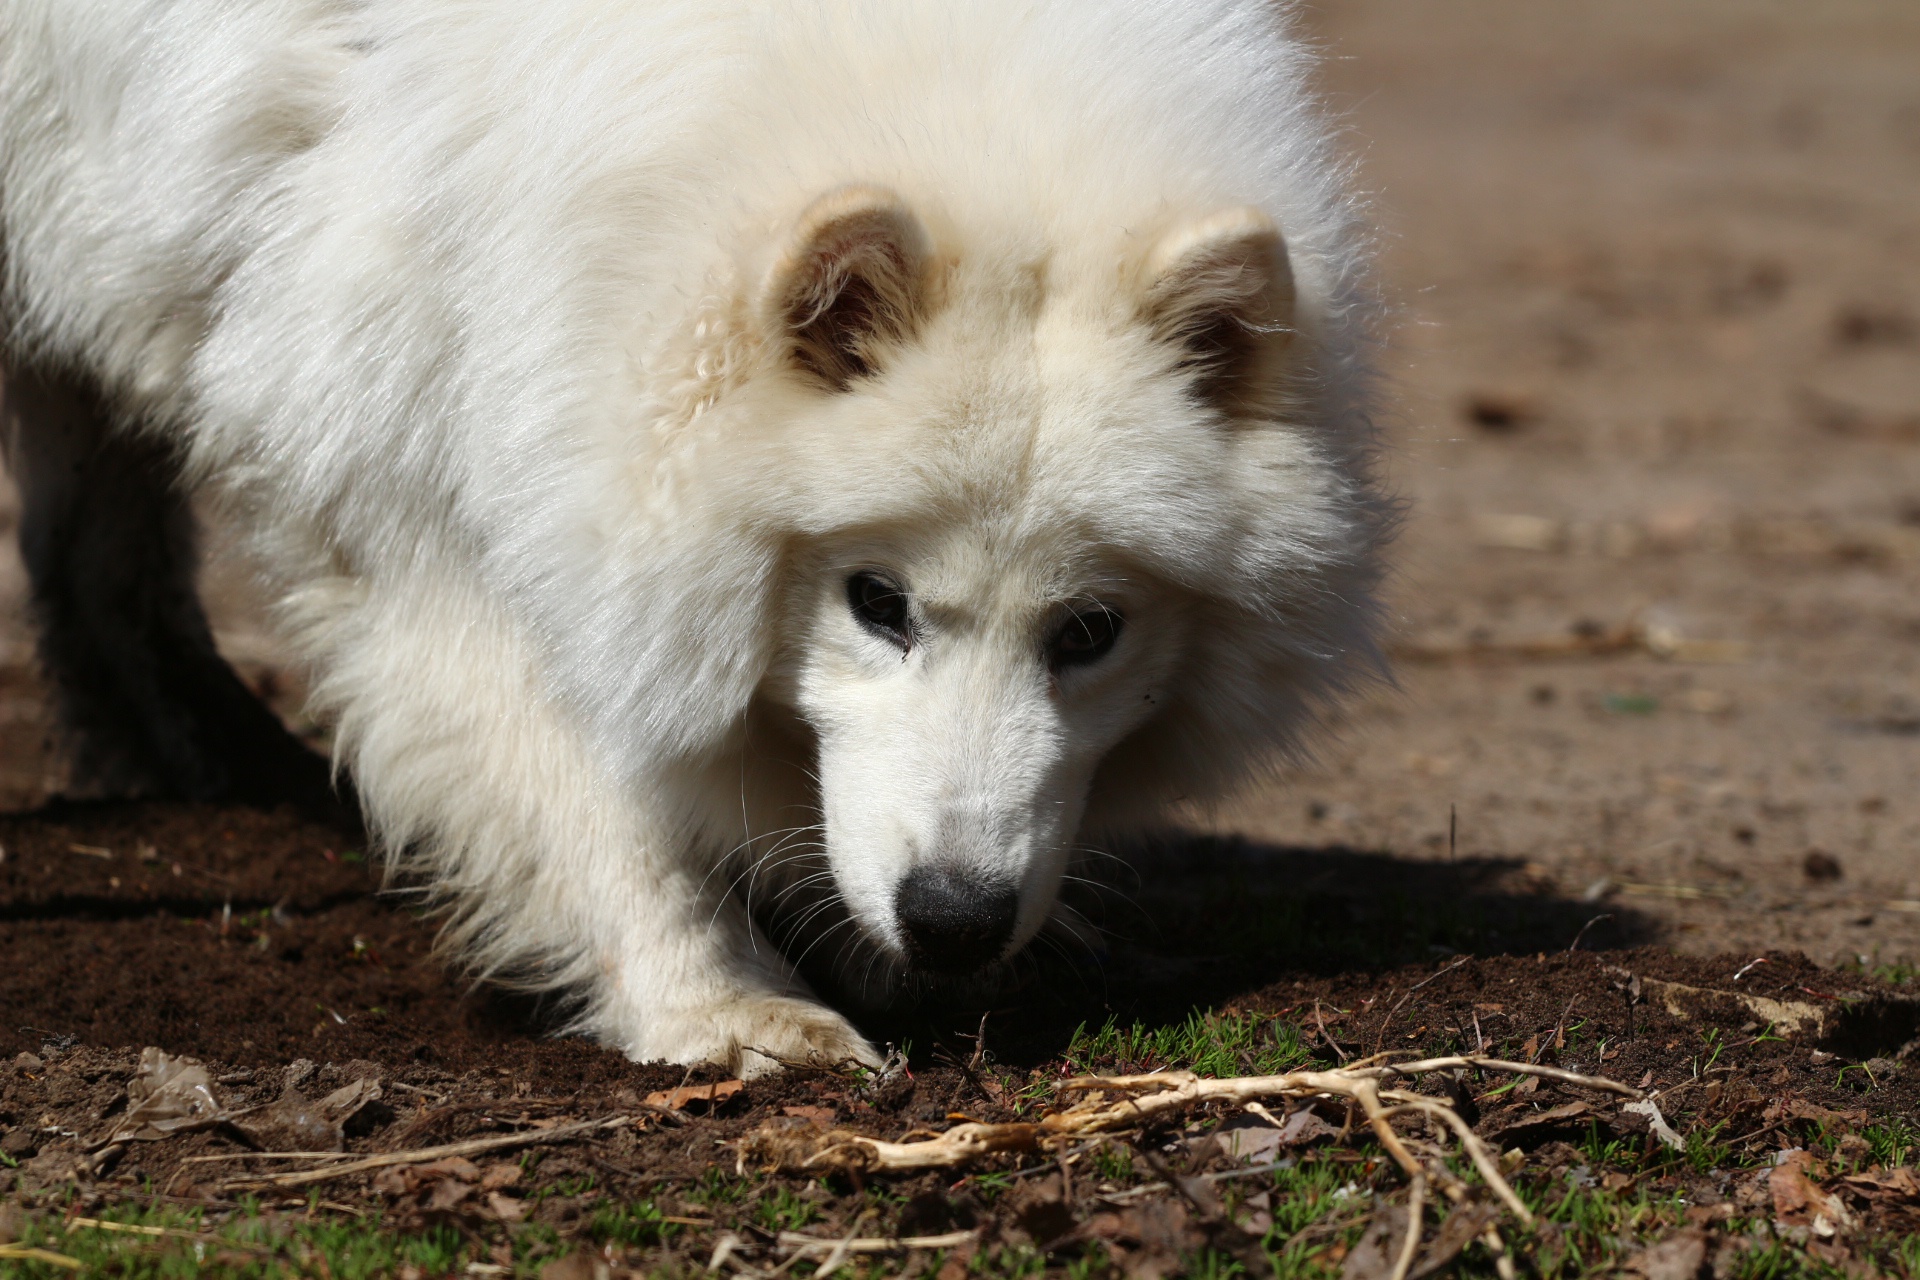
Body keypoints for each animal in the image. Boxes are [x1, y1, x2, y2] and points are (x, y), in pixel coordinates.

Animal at [0, 0, 1390, 1074]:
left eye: (1090, 630)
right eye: (876, 600)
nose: (954, 919)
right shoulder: (413, 490)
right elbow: (587, 791)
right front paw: (724, 1003)